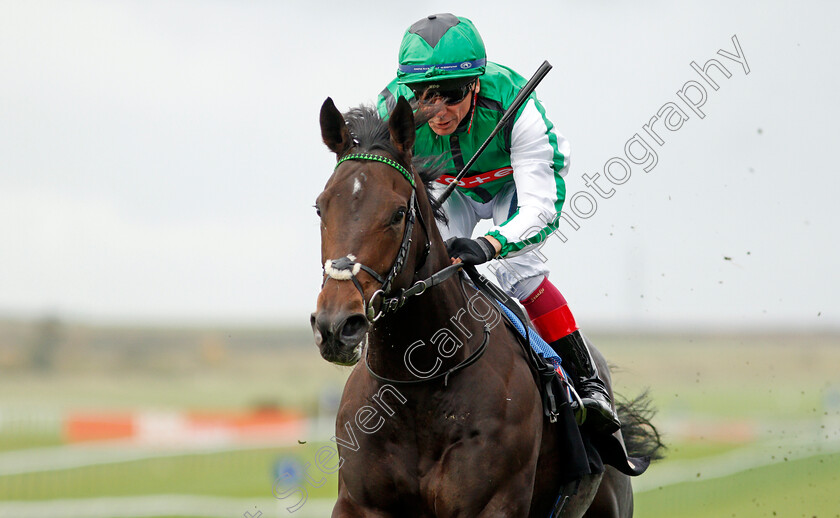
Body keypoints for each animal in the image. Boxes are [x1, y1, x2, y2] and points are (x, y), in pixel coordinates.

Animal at [312, 95, 660, 516]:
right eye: (320, 208)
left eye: (397, 214)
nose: (336, 325)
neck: (420, 383)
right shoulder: (360, 504)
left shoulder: (492, 503)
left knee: (528, 276)